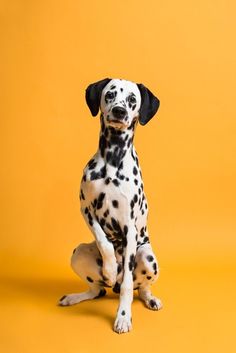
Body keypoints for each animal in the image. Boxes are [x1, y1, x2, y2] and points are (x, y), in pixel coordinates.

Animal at [59, 77, 162, 332]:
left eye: (132, 99)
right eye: (110, 95)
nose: (119, 111)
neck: (113, 161)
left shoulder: (129, 228)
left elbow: (126, 286)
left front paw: (123, 317)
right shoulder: (86, 209)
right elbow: (104, 243)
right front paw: (109, 268)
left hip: (148, 258)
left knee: (138, 287)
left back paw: (150, 298)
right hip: (78, 253)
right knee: (97, 290)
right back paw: (77, 296)